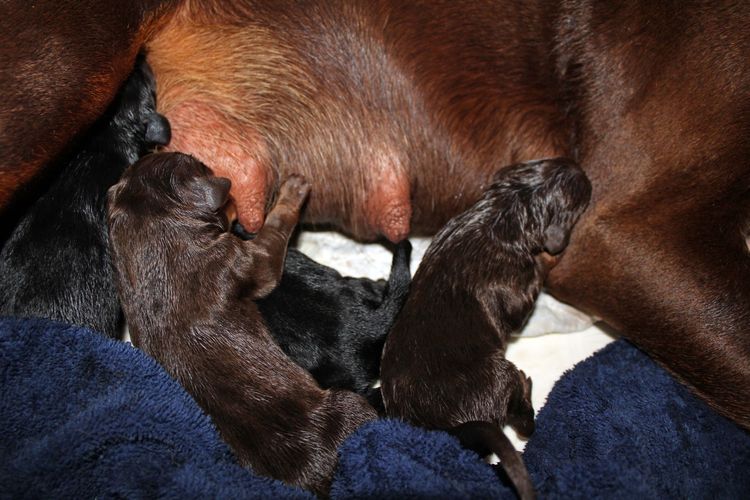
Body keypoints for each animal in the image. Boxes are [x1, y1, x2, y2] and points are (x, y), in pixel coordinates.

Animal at [382, 157, 592, 500]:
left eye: (543, 160)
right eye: (579, 193)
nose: (579, 167)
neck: (503, 211)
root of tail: (451, 431)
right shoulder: (515, 288)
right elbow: (525, 297)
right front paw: (547, 260)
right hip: (499, 373)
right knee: (522, 421)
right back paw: (525, 385)